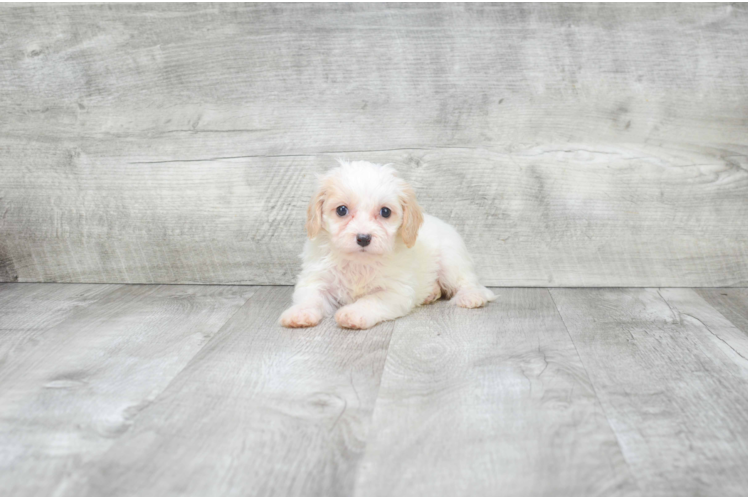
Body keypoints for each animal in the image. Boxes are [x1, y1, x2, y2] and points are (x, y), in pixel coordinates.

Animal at [278, 161, 494, 332]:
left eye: (385, 212)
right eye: (341, 210)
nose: (363, 238)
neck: (359, 262)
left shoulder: (394, 291)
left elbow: (370, 300)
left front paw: (353, 313)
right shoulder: (316, 279)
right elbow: (310, 297)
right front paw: (299, 313)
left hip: (451, 261)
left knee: (466, 282)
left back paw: (471, 297)